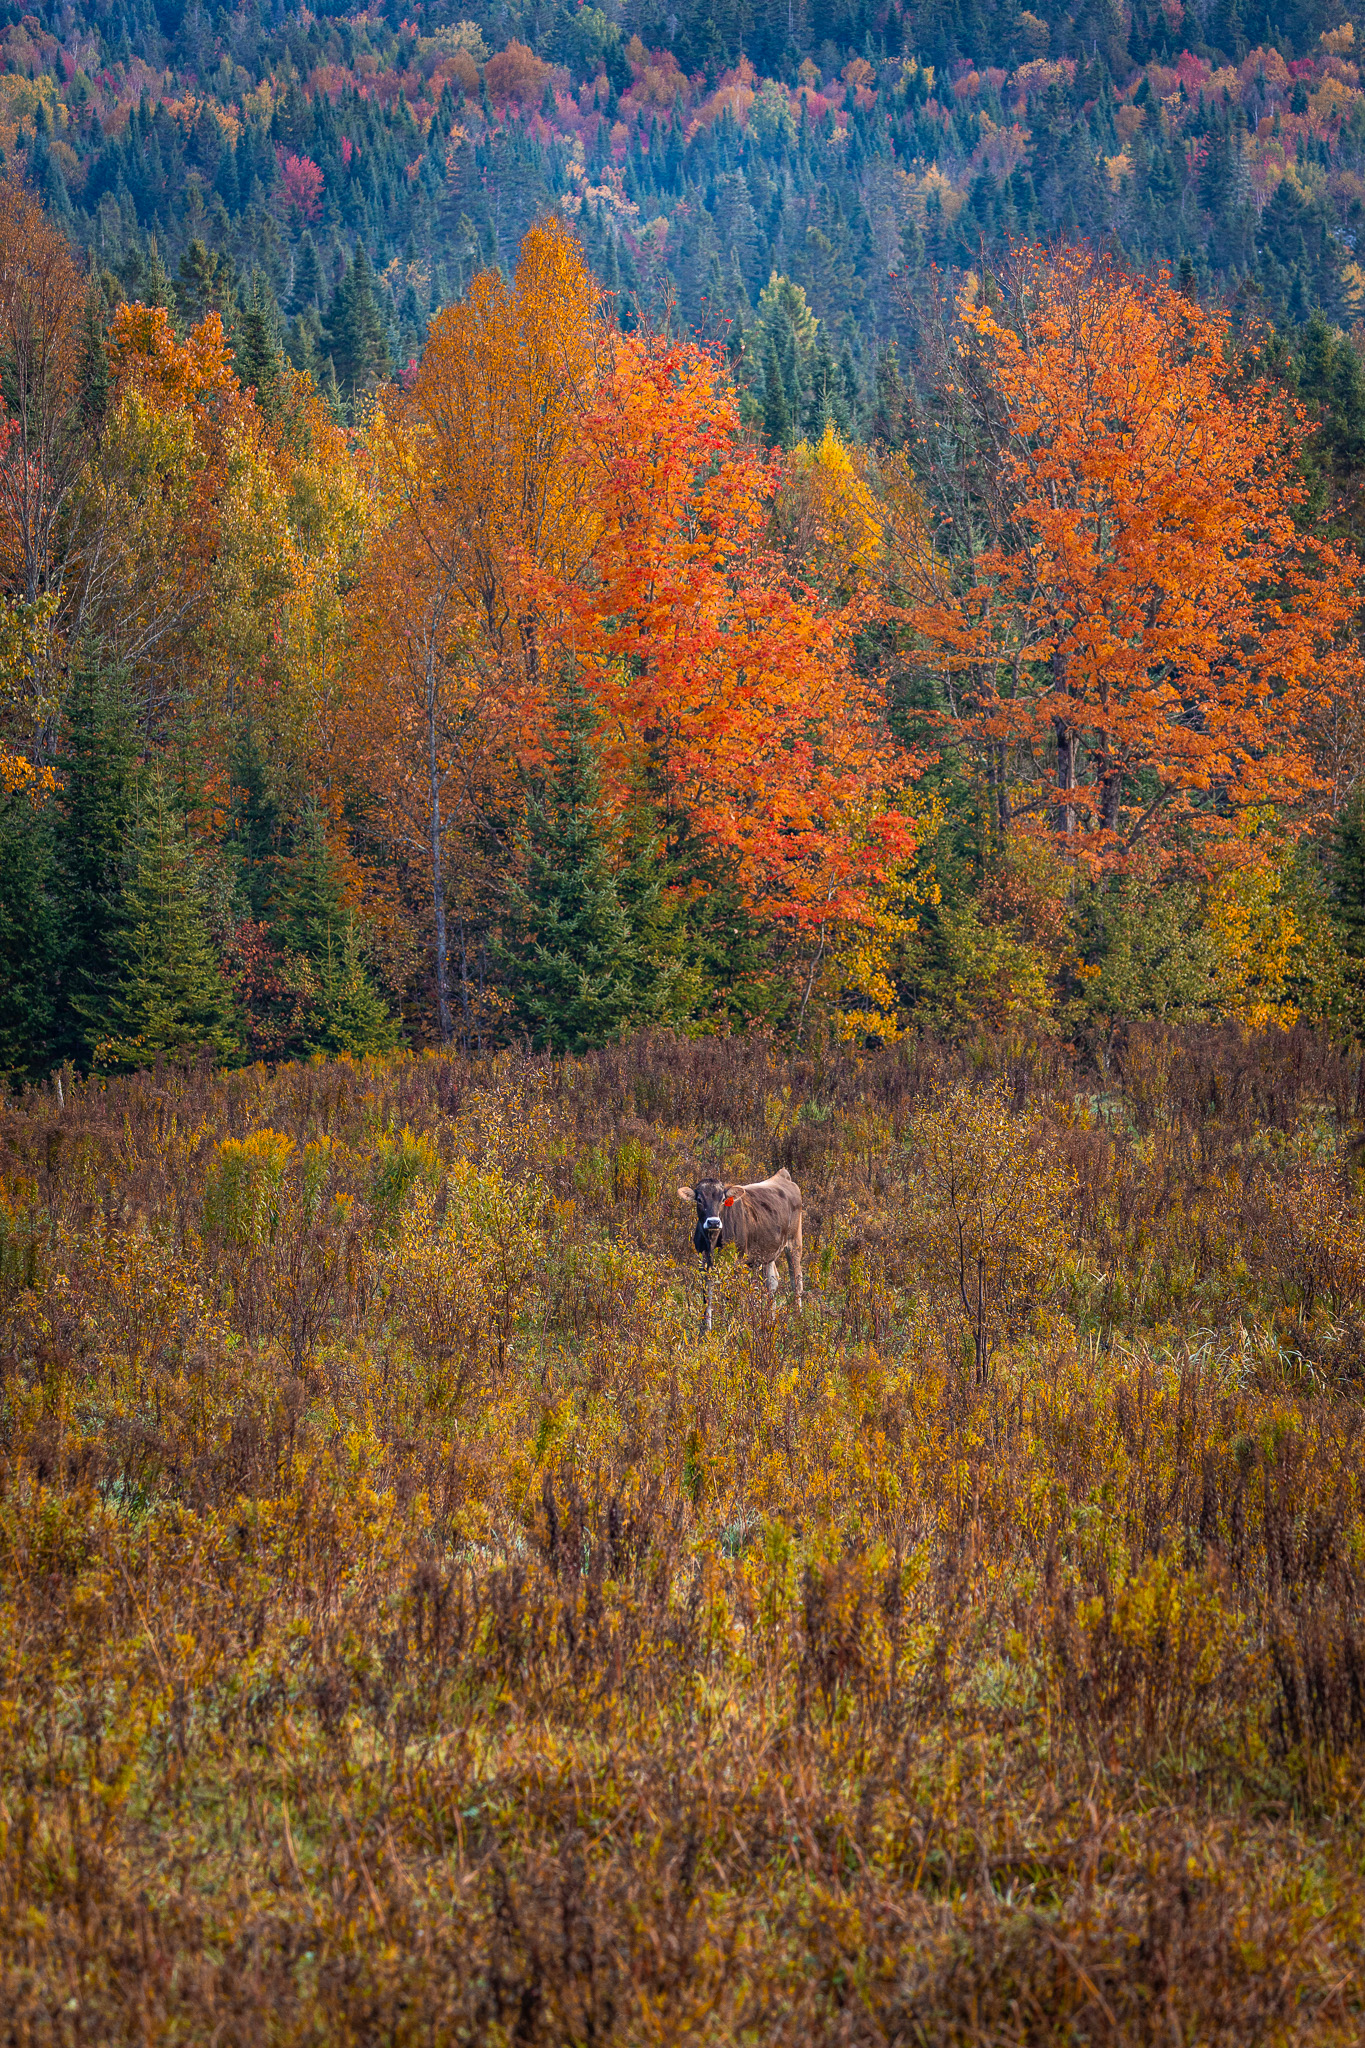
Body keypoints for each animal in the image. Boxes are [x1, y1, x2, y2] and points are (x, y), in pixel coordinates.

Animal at [679, 1163, 806, 1335]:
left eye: (723, 1199)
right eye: (699, 1199)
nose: (713, 1222)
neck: (713, 1241)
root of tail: (781, 1176)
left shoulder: (736, 1262)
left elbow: (730, 1295)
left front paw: (730, 1328)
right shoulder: (704, 1263)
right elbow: (707, 1296)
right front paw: (705, 1331)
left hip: (794, 1242)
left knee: (796, 1283)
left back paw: (798, 1320)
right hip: (769, 1251)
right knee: (771, 1282)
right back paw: (770, 1323)